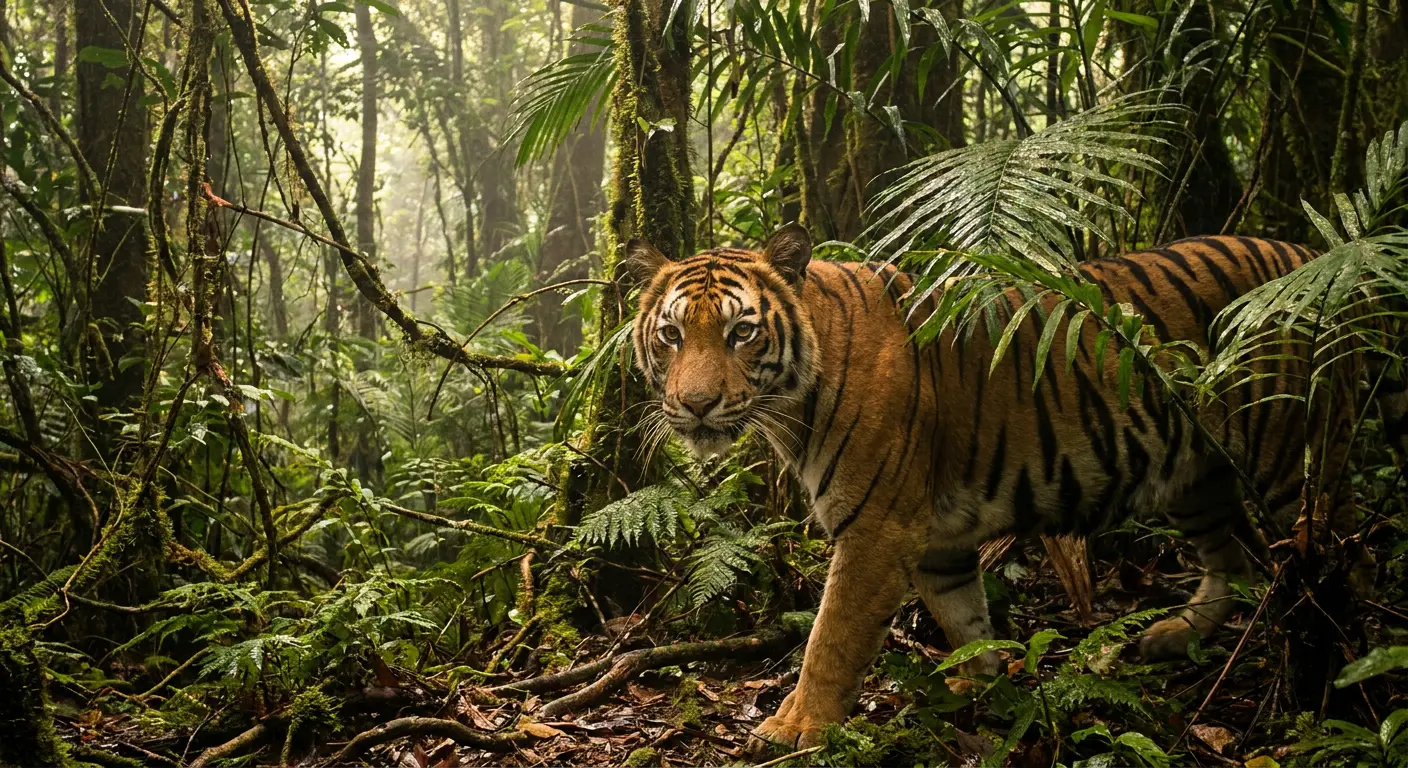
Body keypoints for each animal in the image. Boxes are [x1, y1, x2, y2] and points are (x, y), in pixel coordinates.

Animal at [626, 224, 1407, 751]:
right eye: (671, 336)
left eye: (741, 334)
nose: (695, 405)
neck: (791, 404)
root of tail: (1318, 256)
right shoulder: (933, 541)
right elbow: (963, 618)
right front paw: (982, 683)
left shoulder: (878, 528)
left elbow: (831, 639)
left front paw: (794, 728)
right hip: (1200, 472)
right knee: (1235, 560)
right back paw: (1168, 639)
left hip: (1292, 456)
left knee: (1351, 559)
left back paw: (1352, 681)